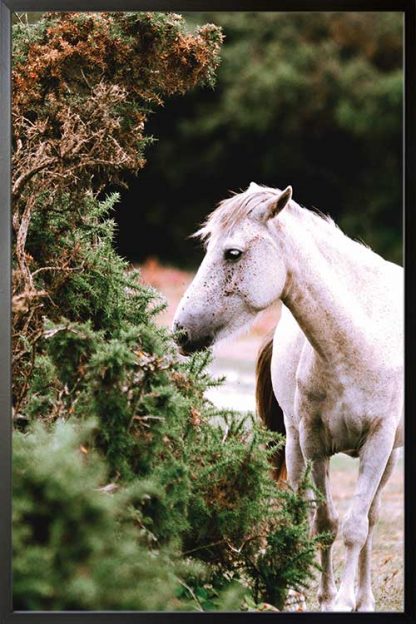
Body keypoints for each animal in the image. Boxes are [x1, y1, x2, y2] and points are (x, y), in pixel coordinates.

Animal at [172, 183, 404, 612]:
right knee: (301, 509)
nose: (180, 331)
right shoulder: (314, 444)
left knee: (372, 516)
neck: (360, 342)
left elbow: (355, 526)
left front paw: (345, 601)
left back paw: (365, 599)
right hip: (295, 446)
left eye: (233, 253)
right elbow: (323, 523)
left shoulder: (379, 443)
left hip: (390, 456)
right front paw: (325, 599)